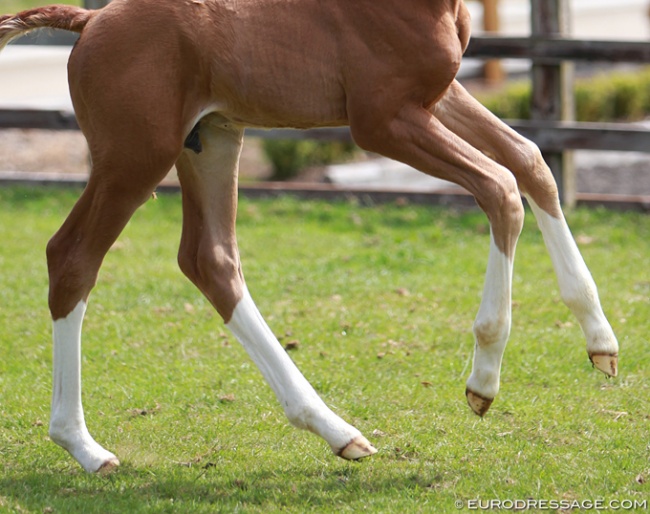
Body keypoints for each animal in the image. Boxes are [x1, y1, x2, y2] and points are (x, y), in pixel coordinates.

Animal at [1, 0, 616, 472]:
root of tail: (90, 20)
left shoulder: (434, 96)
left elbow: (529, 160)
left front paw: (601, 343)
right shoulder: (383, 118)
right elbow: (501, 189)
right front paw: (483, 381)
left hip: (211, 140)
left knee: (210, 260)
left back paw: (333, 429)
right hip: (135, 157)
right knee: (73, 257)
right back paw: (83, 446)